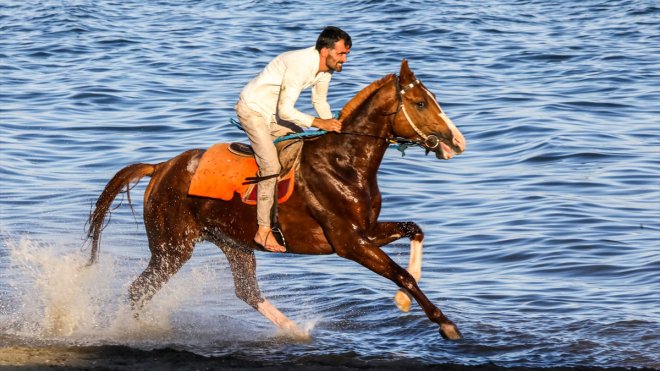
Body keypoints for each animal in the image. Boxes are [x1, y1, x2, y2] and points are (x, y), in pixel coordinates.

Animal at [87, 59, 466, 342]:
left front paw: (403, 302)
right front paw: (445, 324)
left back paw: (297, 332)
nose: (457, 141)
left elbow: (415, 231)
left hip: (233, 244)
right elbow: (402, 275)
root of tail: (161, 168)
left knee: (247, 292)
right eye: (420, 103)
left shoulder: (368, 231)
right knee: (138, 290)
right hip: (172, 248)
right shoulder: (350, 242)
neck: (344, 163)